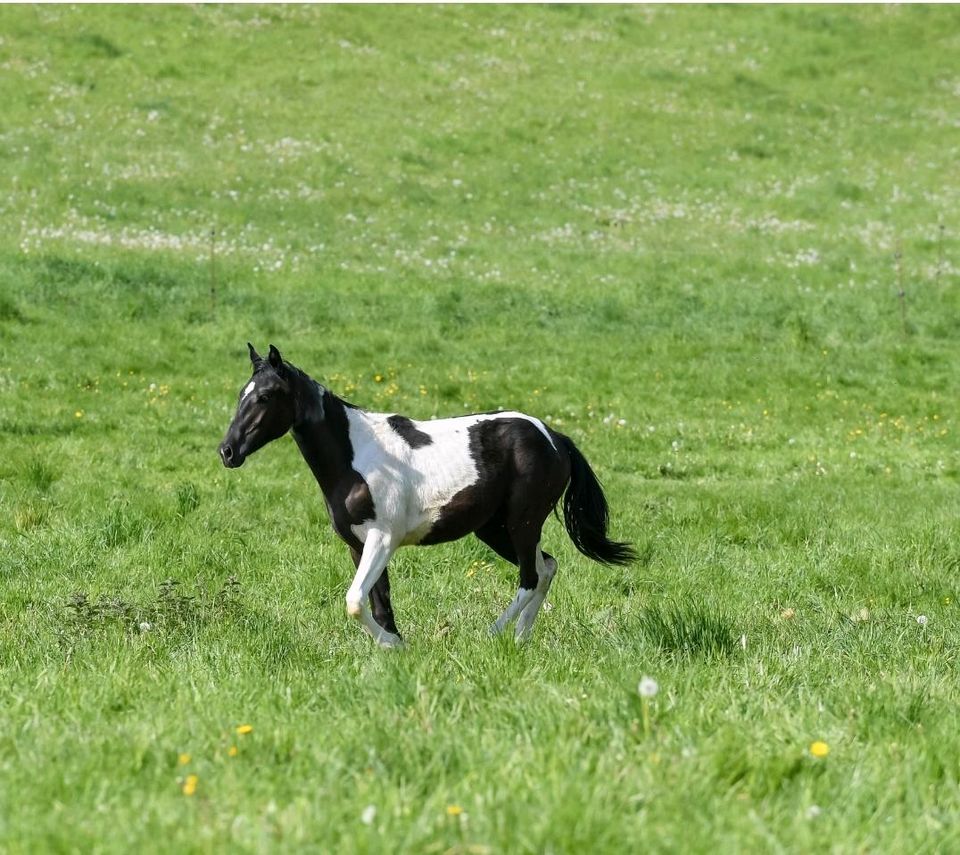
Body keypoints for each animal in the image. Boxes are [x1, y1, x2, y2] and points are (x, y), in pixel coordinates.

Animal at [219, 344, 636, 644]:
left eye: (266, 396)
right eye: (242, 394)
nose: (228, 451)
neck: (356, 455)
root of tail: (555, 438)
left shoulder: (382, 539)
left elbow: (355, 601)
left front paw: (393, 645)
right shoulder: (358, 544)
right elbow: (378, 603)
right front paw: (393, 647)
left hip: (523, 521)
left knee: (531, 576)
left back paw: (492, 635)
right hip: (494, 528)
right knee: (547, 566)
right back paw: (521, 639)